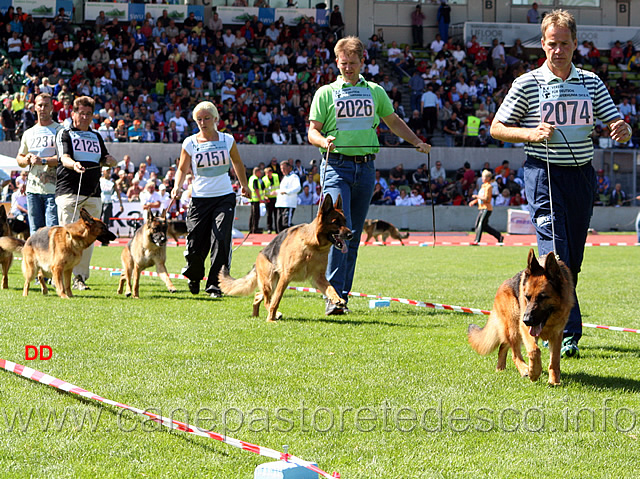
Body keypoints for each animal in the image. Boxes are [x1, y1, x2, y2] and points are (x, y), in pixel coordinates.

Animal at [218, 194, 352, 322]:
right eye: (335, 222)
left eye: (345, 221)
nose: (351, 235)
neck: (313, 246)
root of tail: (261, 254)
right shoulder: (286, 277)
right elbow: (276, 300)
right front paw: (270, 319)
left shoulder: (319, 278)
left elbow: (331, 288)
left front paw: (337, 299)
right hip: (270, 282)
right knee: (267, 300)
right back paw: (274, 315)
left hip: (272, 283)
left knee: (257, 296)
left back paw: (255, 315)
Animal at [464, 249, 576, 388]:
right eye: (527, 297)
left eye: (542, 297)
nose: (526, 320)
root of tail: (502, 286)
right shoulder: (525, 330)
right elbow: (534, 350)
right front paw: (534, 372)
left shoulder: (557, 334)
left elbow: (554, 360)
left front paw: (554, 381)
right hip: (514, 327)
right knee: (515, 354)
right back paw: (524, 370)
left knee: (503, 346)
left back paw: (500, 368)